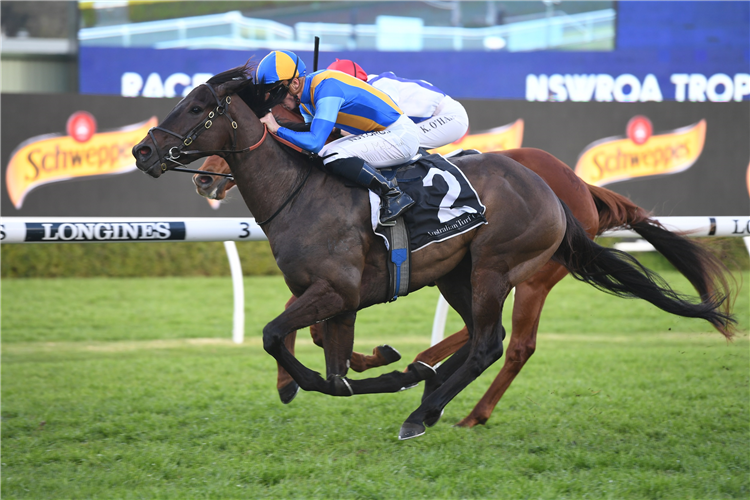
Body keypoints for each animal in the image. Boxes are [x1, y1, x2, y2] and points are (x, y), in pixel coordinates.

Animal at [132, 64, 736, 440]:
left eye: (197, 108)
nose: (142, 151)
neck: (300, 190)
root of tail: (562, 193)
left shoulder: (336, 289)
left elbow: (277, 337)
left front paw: (364, 376)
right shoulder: (334, 297)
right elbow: (330, 363)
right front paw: (375, 369)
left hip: (503, 269)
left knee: (495, 343)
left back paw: (426, 409)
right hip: (459, 274)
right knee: (485, 339)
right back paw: (430, 388)